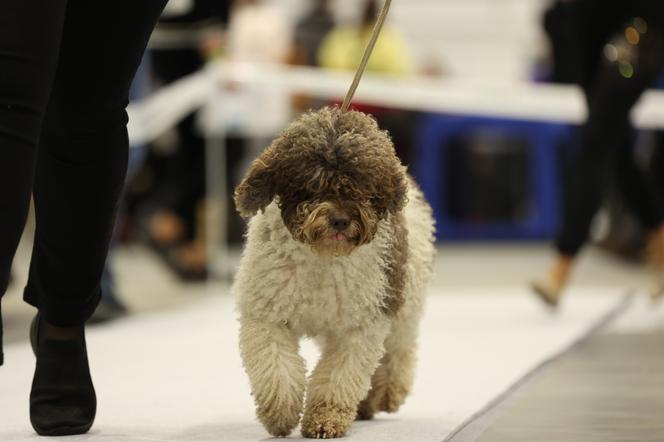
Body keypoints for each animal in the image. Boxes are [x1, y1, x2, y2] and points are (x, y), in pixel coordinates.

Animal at [233, 108, 436, 438]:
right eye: (313, 185)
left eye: (364, 188)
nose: (340, 220)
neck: (322, 258)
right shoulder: (267, 314)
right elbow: (276, 367)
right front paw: (280, 414)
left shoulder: (361, 325)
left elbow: (338, 376)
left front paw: (325, 419)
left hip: (405, 301)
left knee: (398, 352)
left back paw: (387, 392)